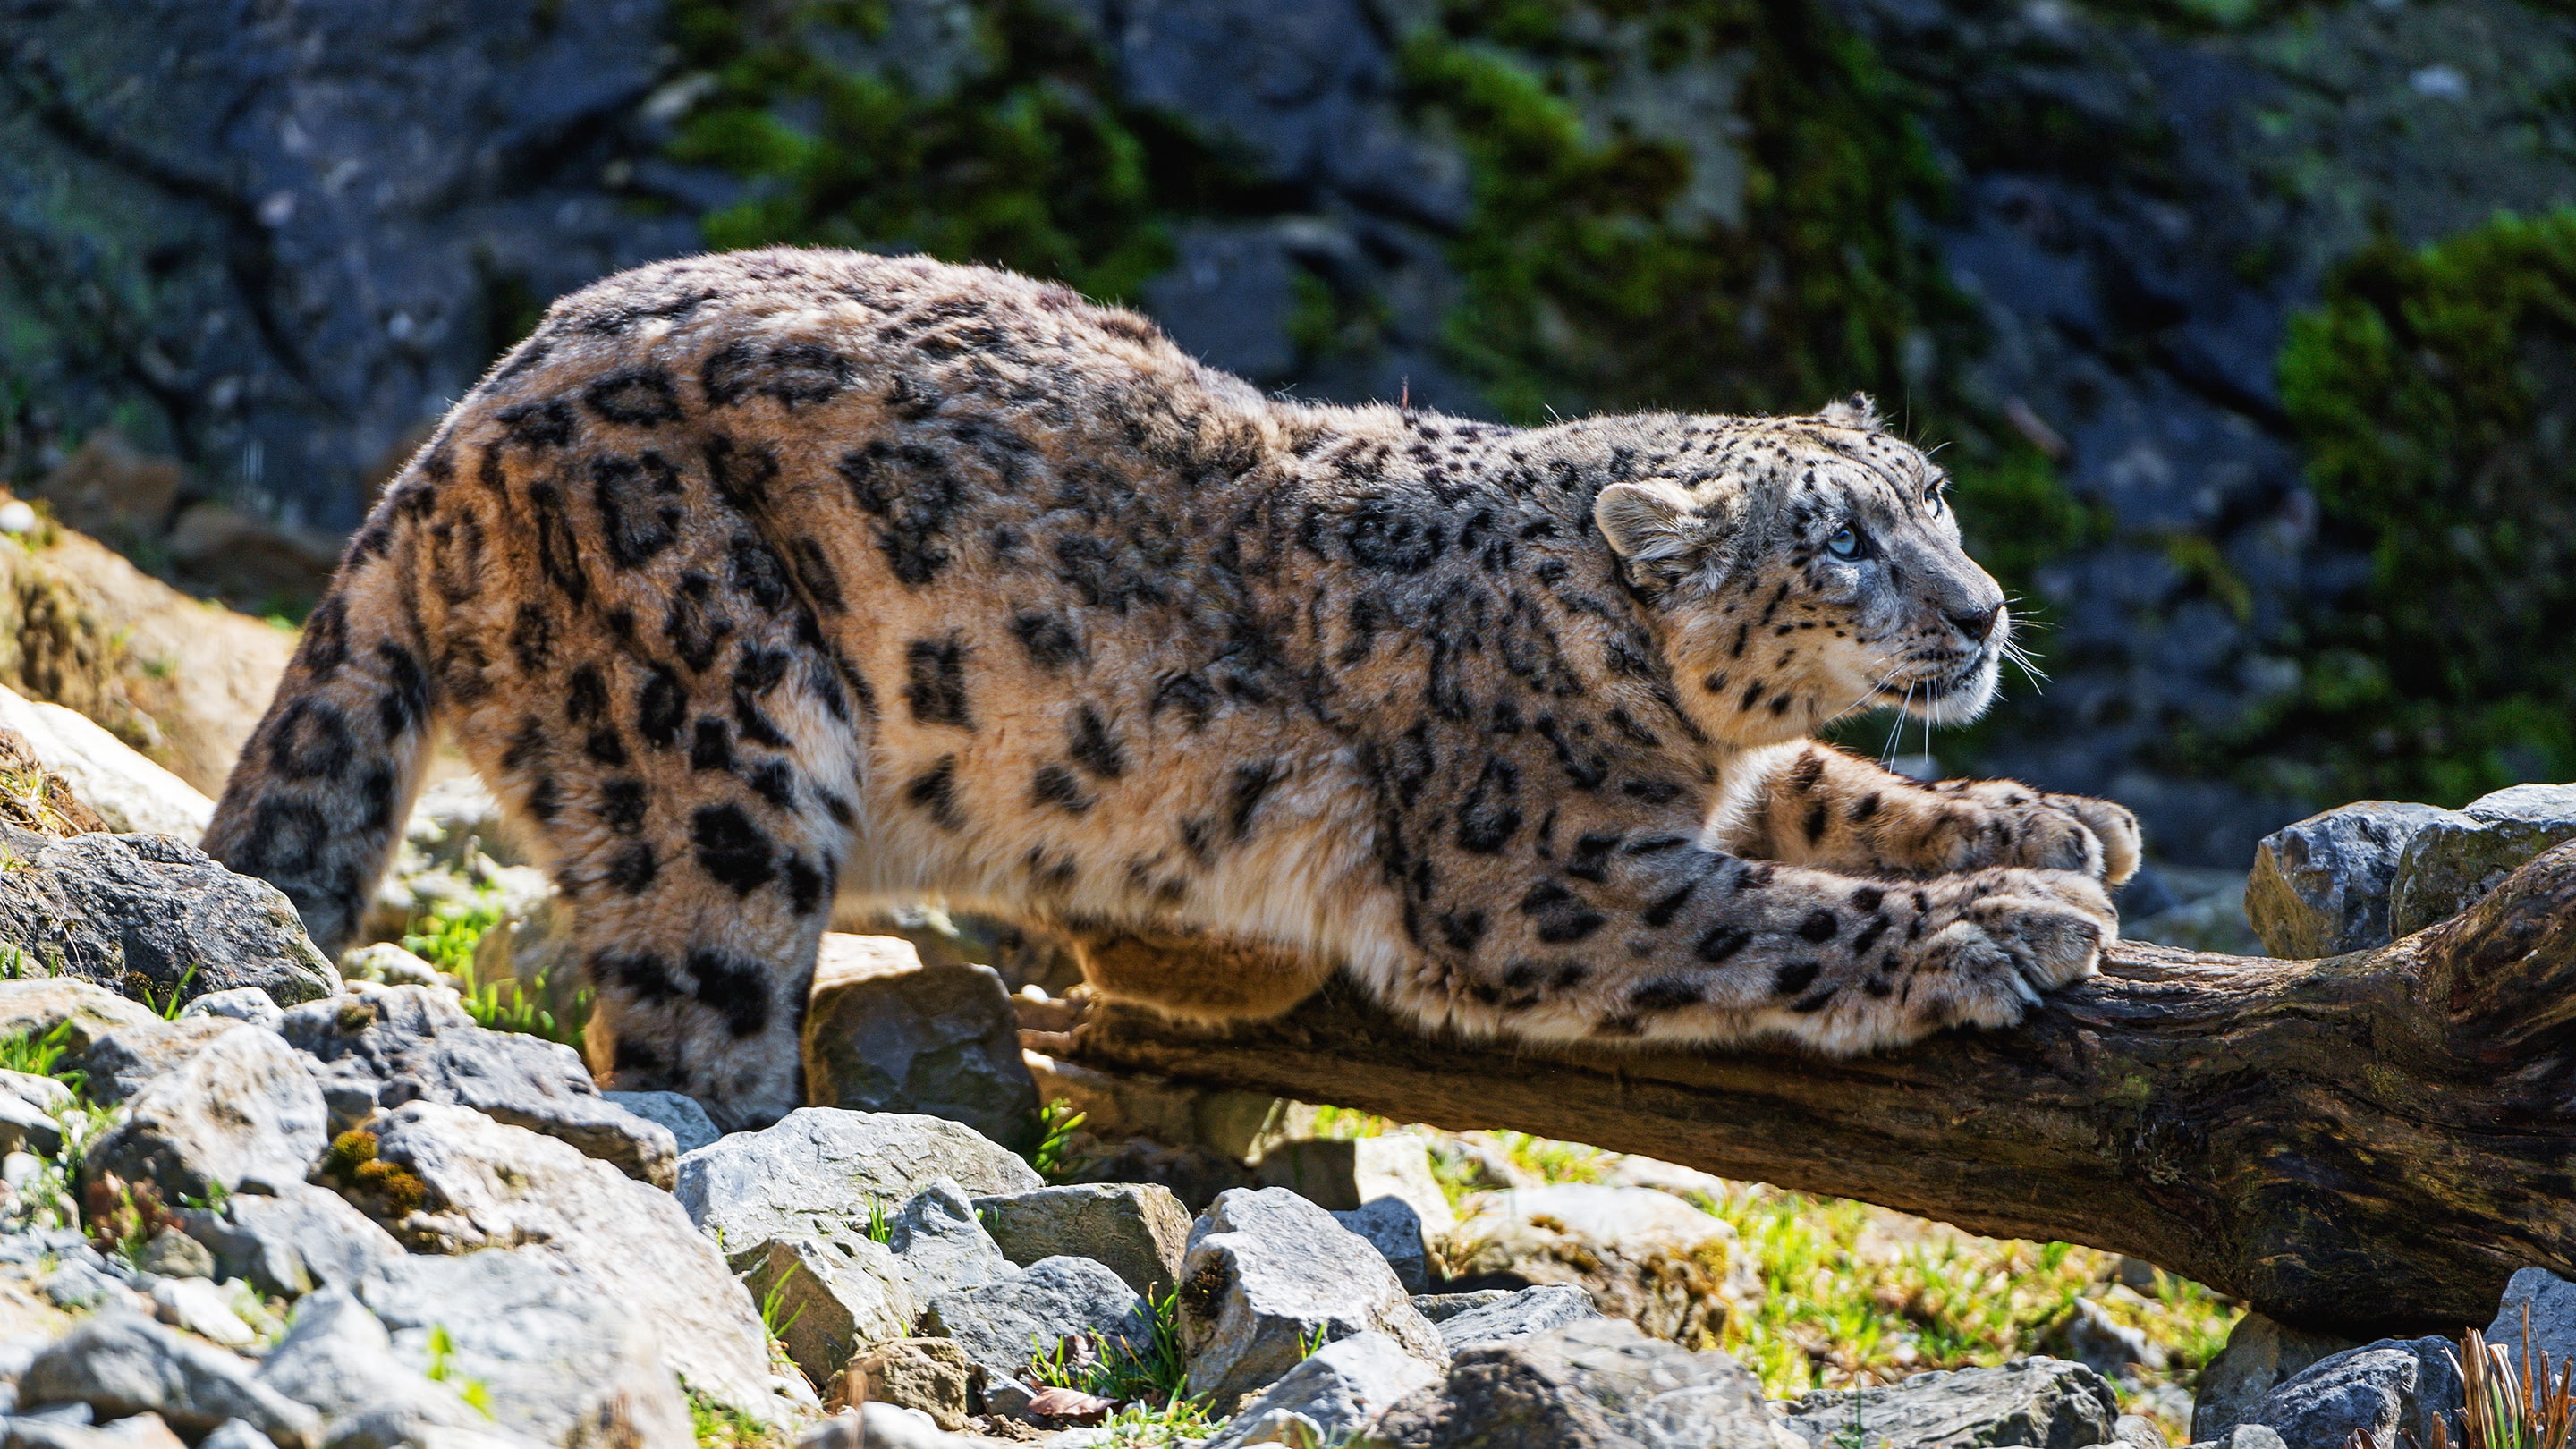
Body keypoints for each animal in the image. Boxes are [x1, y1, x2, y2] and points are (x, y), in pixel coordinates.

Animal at [204, 246, 2140, 1130]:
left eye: (1936, 500)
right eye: (1840, 544)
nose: (1982, 612)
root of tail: (448, 437)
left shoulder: (1711, 783)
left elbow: (1827, 788)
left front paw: (2051, 823)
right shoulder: (1540, 875)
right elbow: (1771, 913)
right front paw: (2007, 927)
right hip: (714, 741)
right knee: (688, 1032)